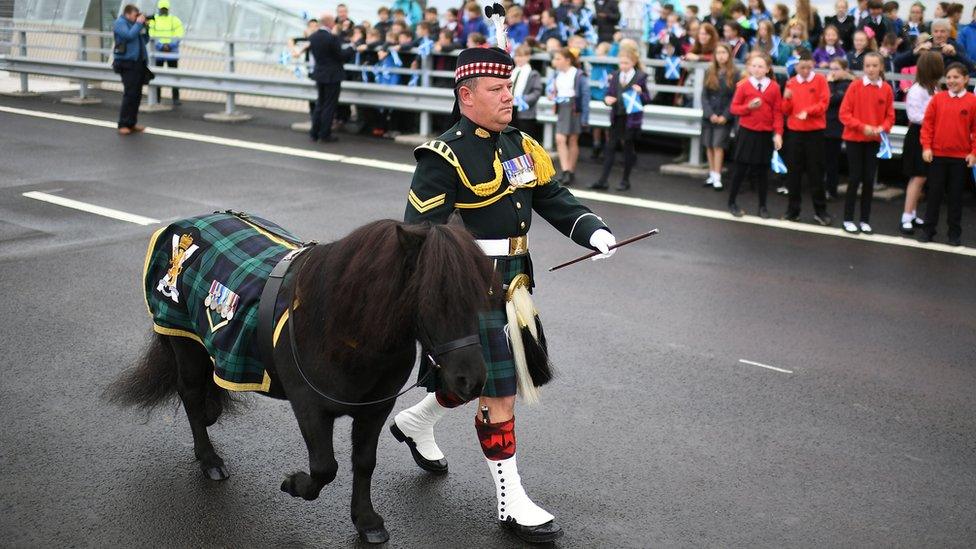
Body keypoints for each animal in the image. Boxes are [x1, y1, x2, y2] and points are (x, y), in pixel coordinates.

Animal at [108, 216, 496, 540]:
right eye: (433, 298)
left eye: (481, 293)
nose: (471, 380)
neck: (342, 327)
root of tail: (181, 226)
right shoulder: (309, 405)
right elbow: (325, 467)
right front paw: (294, 484)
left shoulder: (375, 408)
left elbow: (364, 462)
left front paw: (367, 521)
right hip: (184, 341)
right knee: (188, 392)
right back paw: (210, 460)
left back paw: (211, 413)